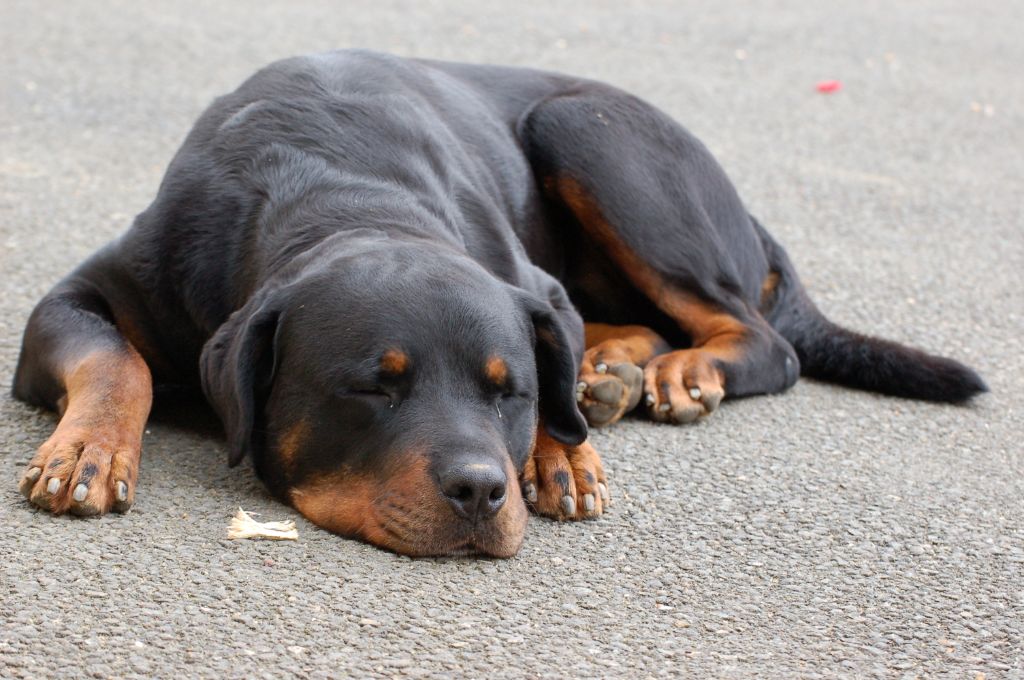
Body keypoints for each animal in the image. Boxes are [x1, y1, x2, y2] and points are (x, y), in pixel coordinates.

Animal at [9, 50, 983, 557]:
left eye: (508, 390)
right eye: (372, 388)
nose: (482, 489)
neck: (347, 191)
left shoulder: (533, 290)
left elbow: (553, 338)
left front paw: (562, 449)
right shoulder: (78, 297)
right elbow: (116, 358)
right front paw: (89, 451)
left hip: (588, 130)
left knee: (757, 336)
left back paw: (670, 374)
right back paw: (613, 372)